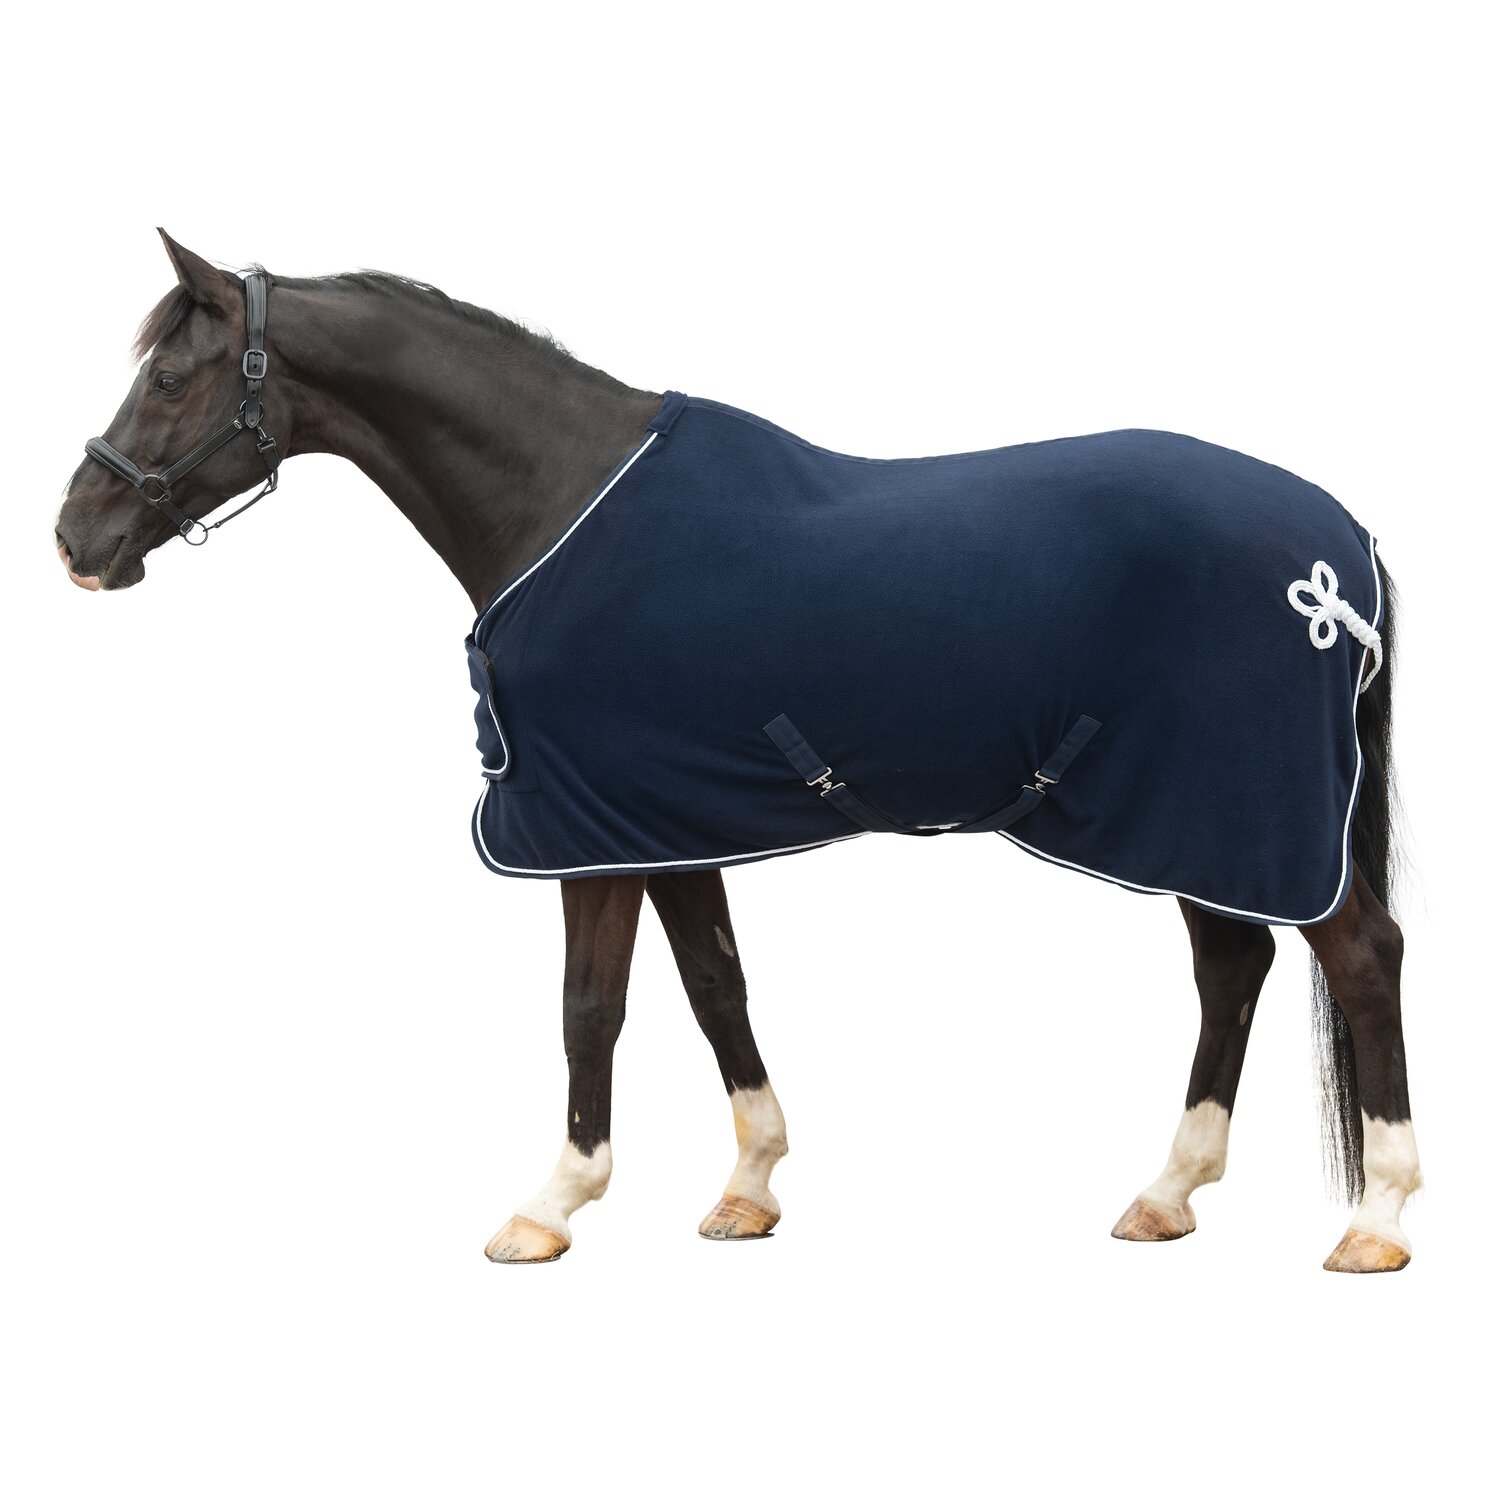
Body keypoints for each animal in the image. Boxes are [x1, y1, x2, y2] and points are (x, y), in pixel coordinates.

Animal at [56, 231, 1421, 1272]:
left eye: (168, 378)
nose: (77, 535)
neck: (559, 500)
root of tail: (1338, 549)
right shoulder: (660, 817)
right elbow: (715, 985)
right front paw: (749, 1188)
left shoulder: (588, 829)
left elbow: (590, 1006)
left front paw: (549, 1208)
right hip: (1199, 815)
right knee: (1233, 966)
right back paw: (1167, 1195)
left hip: (1240, 807)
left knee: (1357, 957)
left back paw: (1377, 1219)